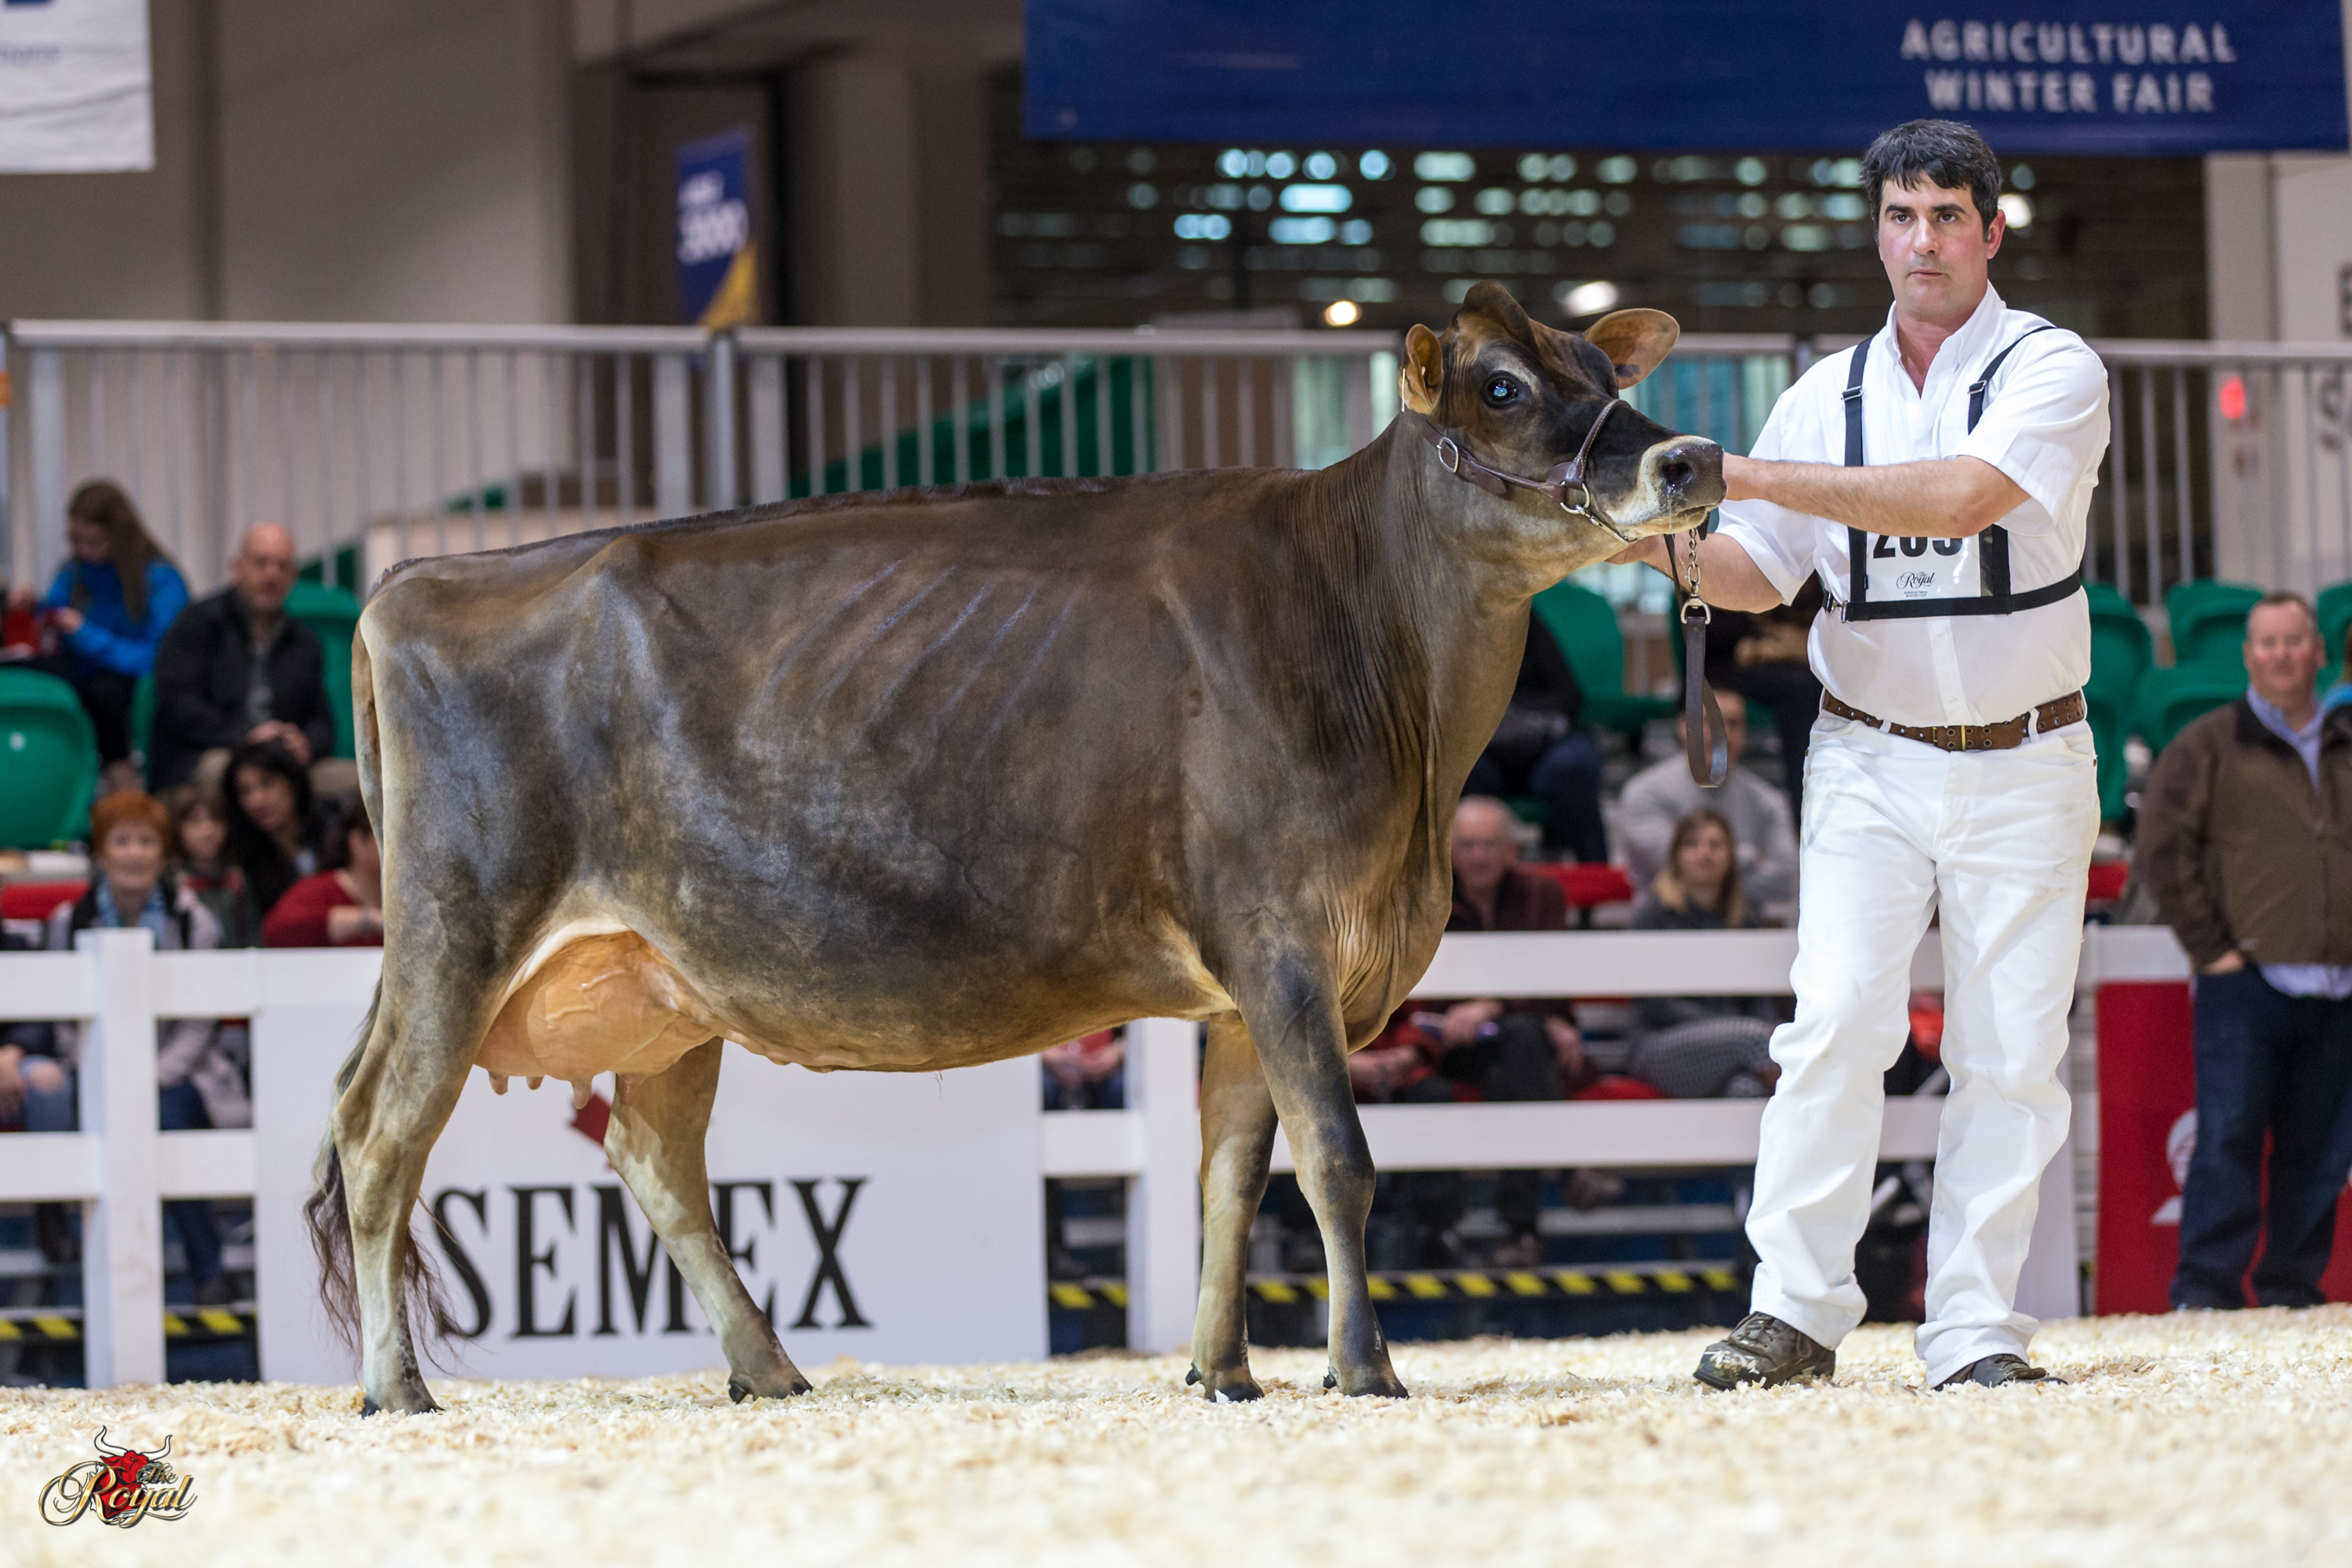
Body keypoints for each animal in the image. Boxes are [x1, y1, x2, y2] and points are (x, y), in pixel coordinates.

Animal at [308, 282, 1724, 1414]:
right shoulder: (1278, 938)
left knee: (654, 1161)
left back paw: (768, 1371)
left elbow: (1229, 1176)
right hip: (459, 929)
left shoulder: (1245, 989)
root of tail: (415, 582)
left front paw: (1225, 1372)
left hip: (667, 984)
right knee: (379, 1134)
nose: (1693, 458)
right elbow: (1337, 1162)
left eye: (1608, 377)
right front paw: (1363, 1368)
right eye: (1503, 387)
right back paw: (397, 1389)